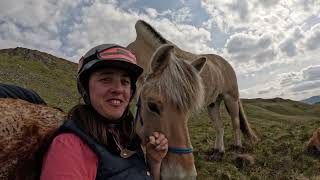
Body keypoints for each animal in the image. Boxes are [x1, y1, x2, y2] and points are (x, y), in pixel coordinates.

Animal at [127, 20, 258, 163]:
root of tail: (227, 64)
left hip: (231, 99)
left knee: (236, 123)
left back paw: (237, 147)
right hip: (213, 104)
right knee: (220, 127)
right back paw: (218, 152)